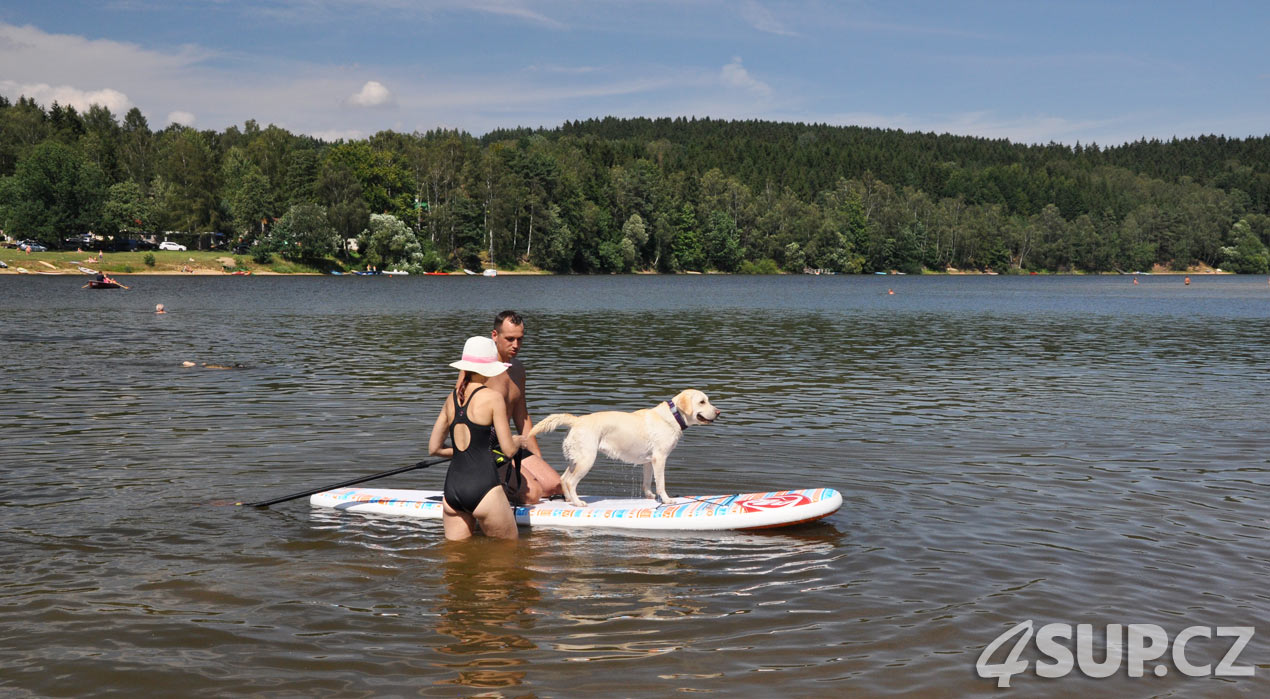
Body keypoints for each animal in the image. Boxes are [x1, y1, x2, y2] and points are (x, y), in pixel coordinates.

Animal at [528, 391, 726, 505]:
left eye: (708, 401)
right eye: (702, 402)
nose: (718, 412)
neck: (672, 416)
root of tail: (577, 420)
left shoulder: (649, 462)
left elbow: (647, 482)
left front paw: (650, 496)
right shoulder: (660, 458)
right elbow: (661, 483)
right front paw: (667, 500)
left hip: (575, 460)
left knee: (563, 479)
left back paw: (568, 499)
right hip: (586, 460)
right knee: (570, 482)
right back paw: (577, 503)